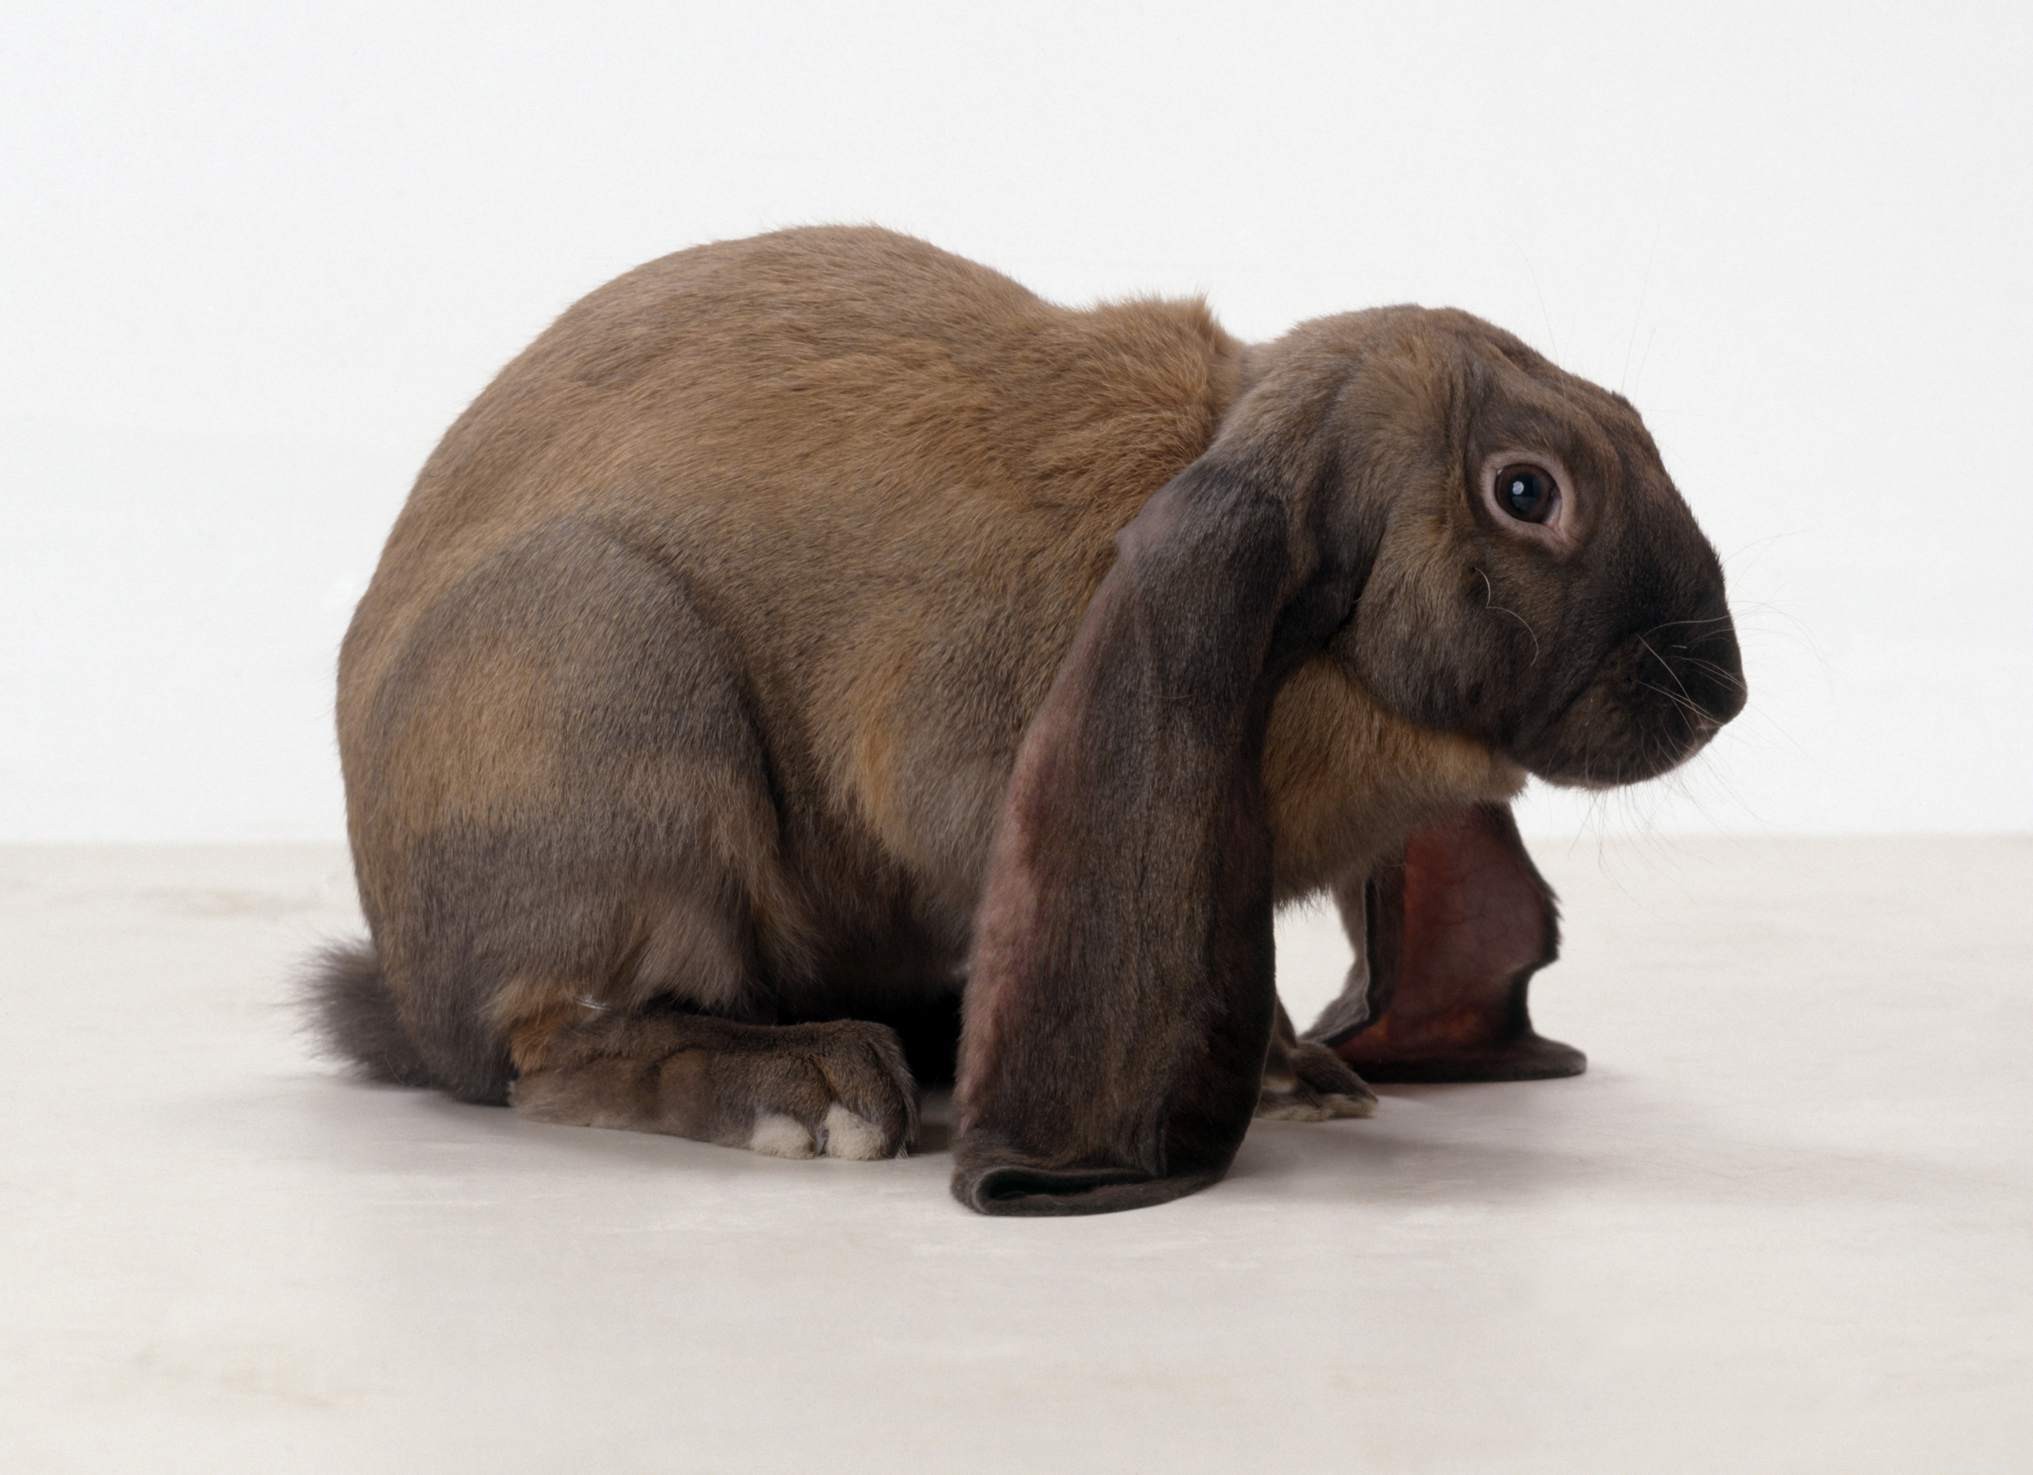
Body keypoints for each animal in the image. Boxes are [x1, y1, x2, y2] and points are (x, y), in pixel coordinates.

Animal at [307, 226, 1744, 1215]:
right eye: (1526, 489)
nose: (1723, 692)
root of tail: (408, 990)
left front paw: (1295, 1074)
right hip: (609, 691)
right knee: (552, 1045)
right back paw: (814, 1092)